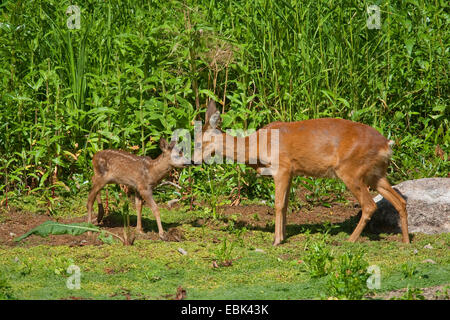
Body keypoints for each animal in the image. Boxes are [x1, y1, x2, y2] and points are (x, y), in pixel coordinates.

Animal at [197, 100, 408, 245]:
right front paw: (282, 235)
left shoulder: (282, 167)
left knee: (370, 205)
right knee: (400, 201)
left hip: (351, 171)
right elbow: (286, 204)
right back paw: (406, 241)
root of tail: (387, 144)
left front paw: (276, 240)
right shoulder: (291, 172)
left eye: (199, 142)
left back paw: (350, 240)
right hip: (376, 174)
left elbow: (278, 204)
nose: (192, 159)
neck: (257, 146)